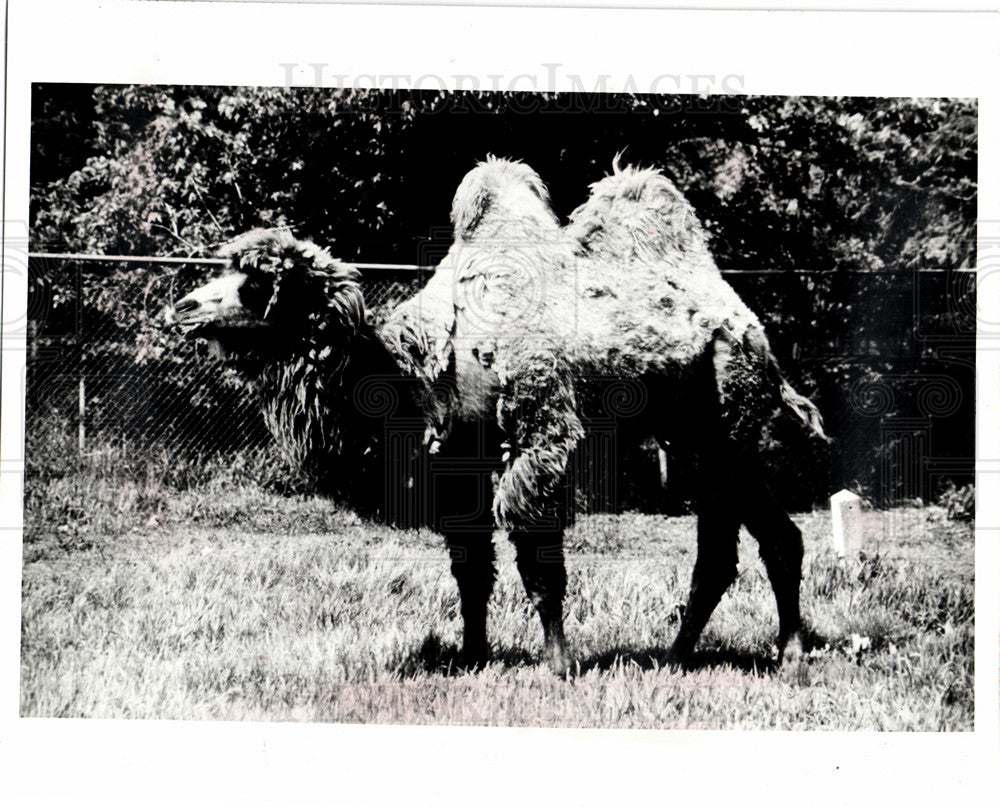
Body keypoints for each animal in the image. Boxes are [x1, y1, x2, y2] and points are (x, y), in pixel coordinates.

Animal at [170, 158, 828, 676]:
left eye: (256, 283)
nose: (184, 307)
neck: (420, 370)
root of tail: (752, 328)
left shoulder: (541, 439)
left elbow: (539, 566)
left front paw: (557, 666)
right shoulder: (458, 465)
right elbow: (471, 573)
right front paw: (472, 655)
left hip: (728, 431)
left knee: (761, 541)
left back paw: (783, 658)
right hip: (696, 443)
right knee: (737, 549)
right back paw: (680, 655)